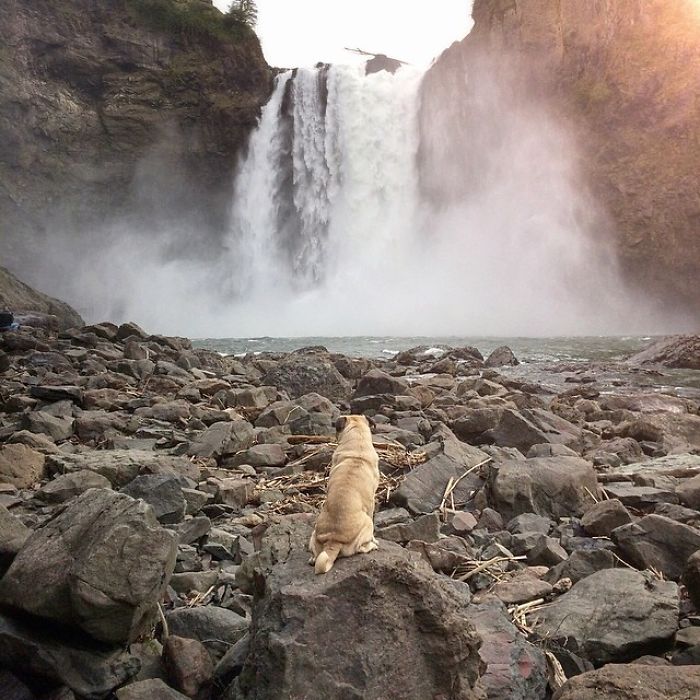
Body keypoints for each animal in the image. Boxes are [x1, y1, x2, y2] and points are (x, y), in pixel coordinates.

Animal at [308, 416, 380, 576]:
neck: (358, 447)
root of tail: (333, 541)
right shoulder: (371, 504)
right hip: (368, 523)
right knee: (360, 548)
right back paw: (371, 546)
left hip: (314, 534)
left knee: (316, 554)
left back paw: (312, 559)